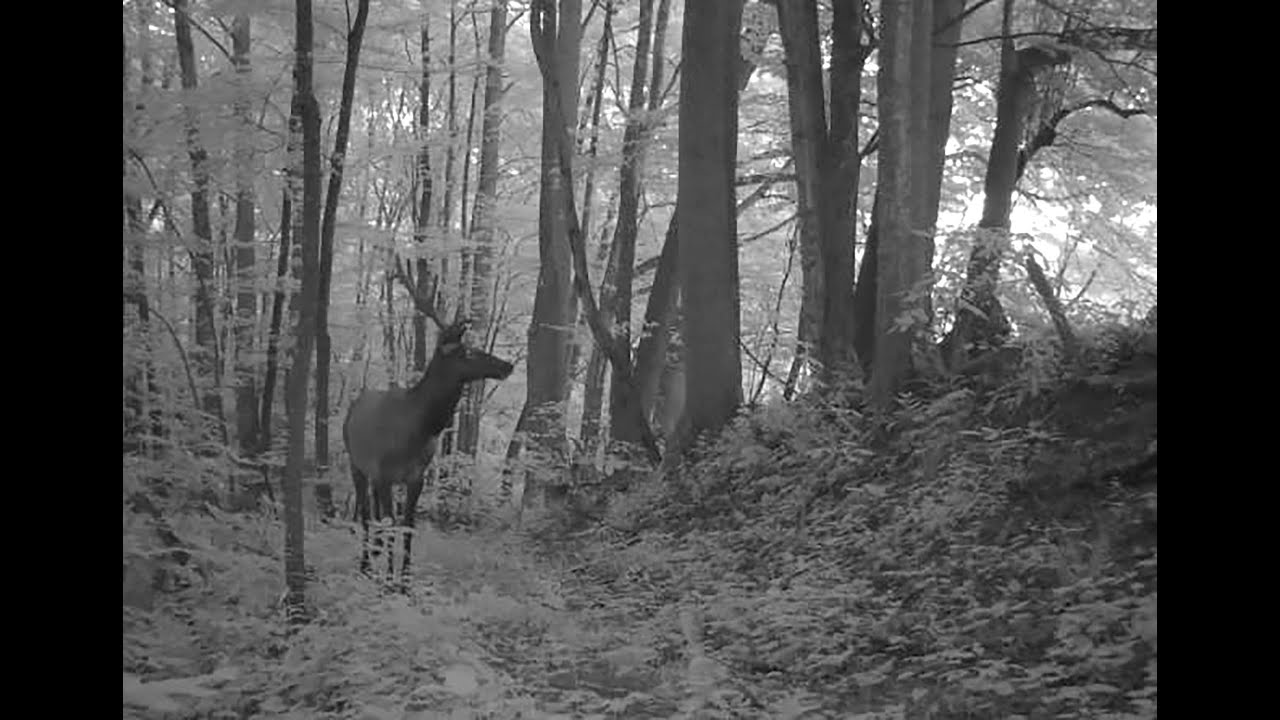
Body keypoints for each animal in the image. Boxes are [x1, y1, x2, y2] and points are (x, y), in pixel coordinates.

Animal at [342, 257, 514, 580]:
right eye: (468, 352)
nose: (507, 365)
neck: (418, 430)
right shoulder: (384, 473)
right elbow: (391, 526)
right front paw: (388, 581)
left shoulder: (416, 477)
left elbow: (408, 528)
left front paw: (405, 582)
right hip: (356, 463)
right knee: (366, 515)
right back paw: (365, 564)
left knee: (374, 514)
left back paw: (374, 556)